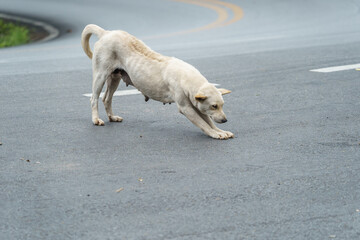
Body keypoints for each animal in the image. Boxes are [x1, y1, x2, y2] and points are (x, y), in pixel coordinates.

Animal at [81, 23, 233, 140]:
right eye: (214, 106)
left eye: (222, 105)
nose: (225, 120)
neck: (188, 79)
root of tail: (106, 33)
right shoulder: (186, 108)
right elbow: (203, 124)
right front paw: (214, 134)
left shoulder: (198, 106)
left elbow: (209, 122)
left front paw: (220, 131)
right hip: (100, 75)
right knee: (94, 98)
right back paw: (96, 119)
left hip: (115, 78)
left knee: (107, 99)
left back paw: (112, 117)